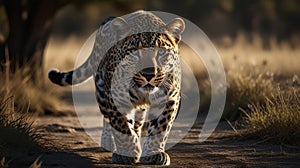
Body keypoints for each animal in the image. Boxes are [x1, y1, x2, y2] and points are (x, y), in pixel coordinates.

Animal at [48, 9, 184, 165]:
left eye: (161, 52)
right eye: (135, 52)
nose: (149, 74)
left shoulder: (169, 97)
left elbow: (161, 127)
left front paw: (154, 153)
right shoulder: (116, 98)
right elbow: (122, 125)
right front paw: (127, 153)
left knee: (138, 119)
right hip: (101, 91)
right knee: (107, 119)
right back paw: (109, 142)